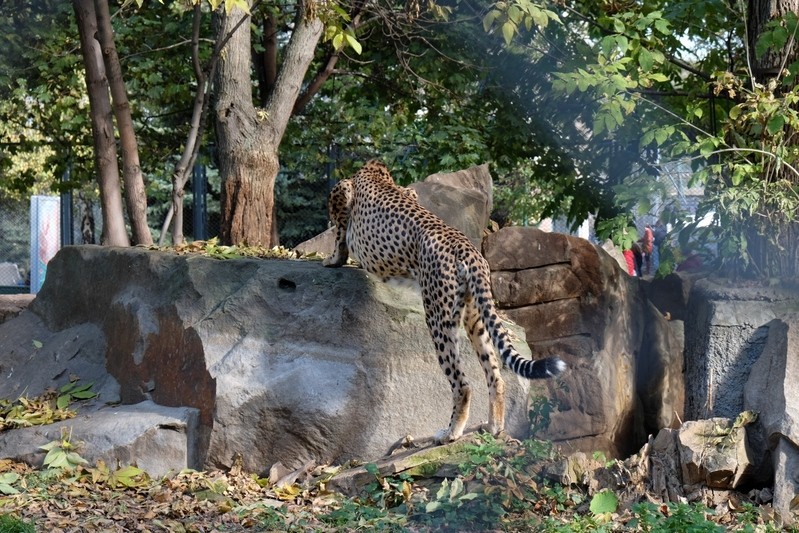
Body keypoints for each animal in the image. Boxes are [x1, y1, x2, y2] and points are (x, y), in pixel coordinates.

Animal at [322, 160, 564, 442]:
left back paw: (450, 432)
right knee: (495, 374)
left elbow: (339, 237)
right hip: (475, 317)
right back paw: (494, 426)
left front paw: (331, 260)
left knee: (462, 383)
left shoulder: (342, 192)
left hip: (438, 315)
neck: (376, 172)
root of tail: (468, 248)